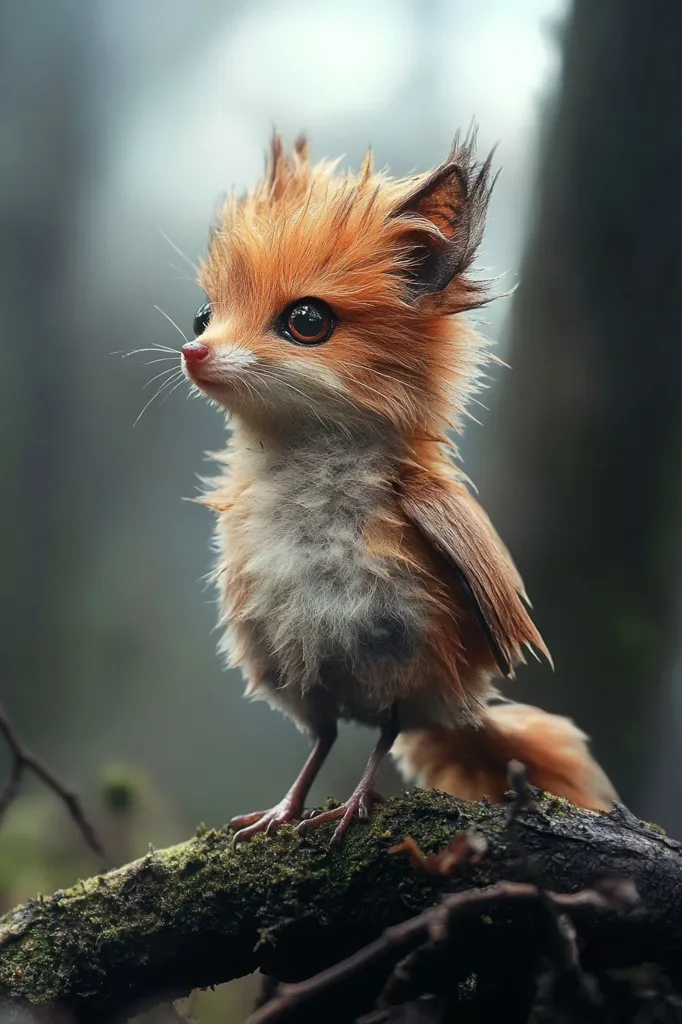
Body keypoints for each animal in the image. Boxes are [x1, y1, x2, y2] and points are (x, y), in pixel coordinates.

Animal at [179, 130, 617, 845]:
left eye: (306, 320)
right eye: (202, 316)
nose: (194, 354)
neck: (305, 488)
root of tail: (464, 709)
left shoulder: (404, 657)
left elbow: (380, 736)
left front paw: (351, 809)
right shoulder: (304, 679)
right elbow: (319, 742)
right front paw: (282, 813)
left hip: (424, 680)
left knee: (389, 729)